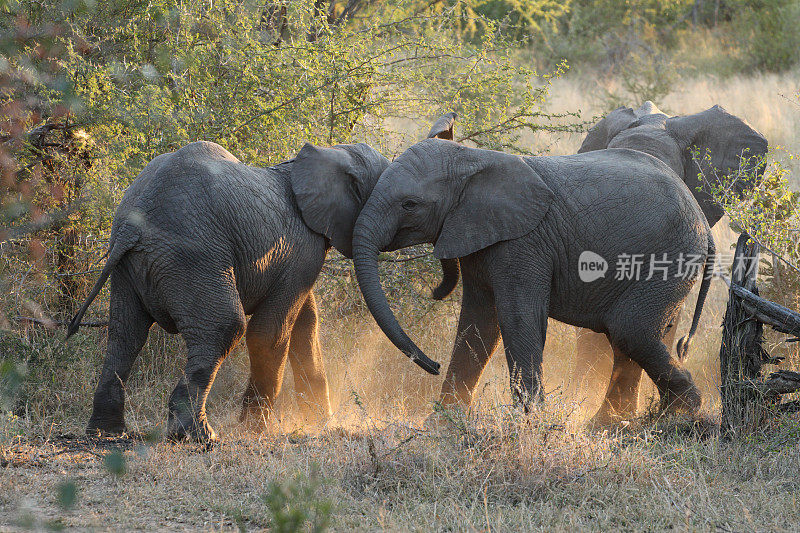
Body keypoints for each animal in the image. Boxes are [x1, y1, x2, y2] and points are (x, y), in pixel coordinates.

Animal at [66, 129, 456, 440]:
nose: (434, 366)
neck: (322, 158)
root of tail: (132, 227)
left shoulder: (299, 252)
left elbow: (305, 323)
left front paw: (318, 423)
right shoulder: (303, 245)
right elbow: (271, 331)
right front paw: (257, 429)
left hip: (131, 267)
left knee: (125, 334)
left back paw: (105, 433)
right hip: (190, 258)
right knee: (224, 327)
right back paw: (200, 437)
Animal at [350, 138, 712, 420]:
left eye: (409, 204)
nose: (433, 365)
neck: (473, 158)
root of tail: (704, 224)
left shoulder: (524, 242)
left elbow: (517, 319)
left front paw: (530, 424)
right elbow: (477, 325)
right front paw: (442, 425)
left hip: (668, 259)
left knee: (630, 330)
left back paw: (680, 414)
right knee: (628, 338)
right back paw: (608, 426)